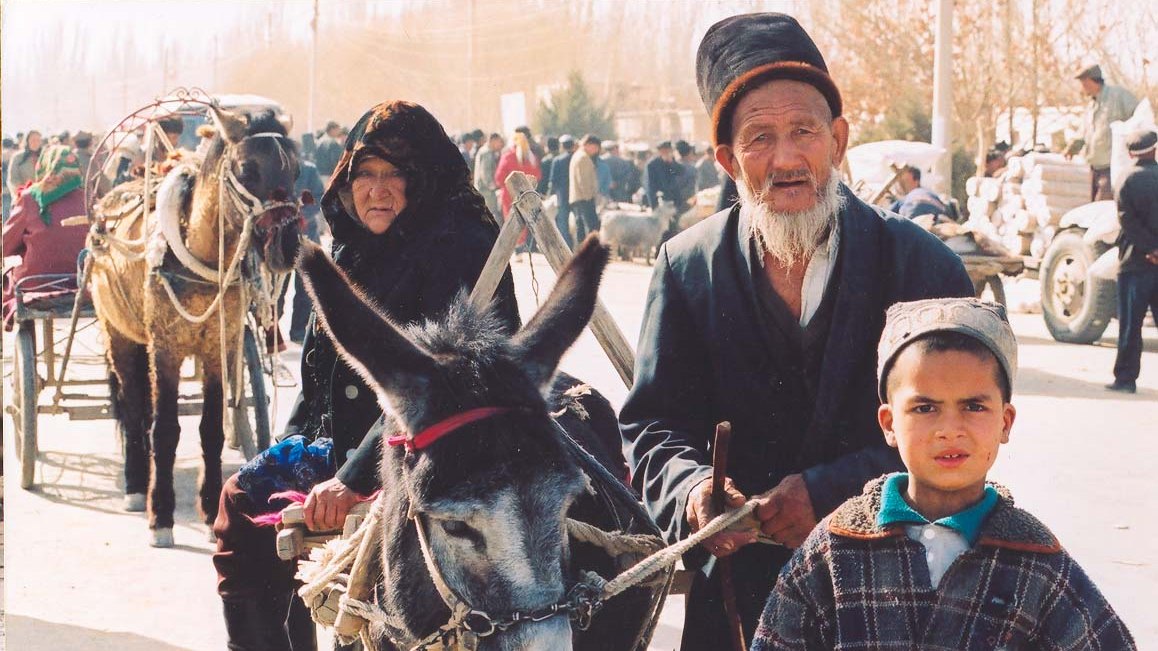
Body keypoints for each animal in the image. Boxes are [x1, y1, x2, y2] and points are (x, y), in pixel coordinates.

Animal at [90, 108, 303, 544]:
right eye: (247, 168)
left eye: (296, 170)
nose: (286, 243)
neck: (198, 255)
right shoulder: (165, 349)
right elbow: (165, 429)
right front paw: (161, 516)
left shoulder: (219, 347)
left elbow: (211, 429)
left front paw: (209, 510)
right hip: (120, 335)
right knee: (134, 408)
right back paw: (135, 485)